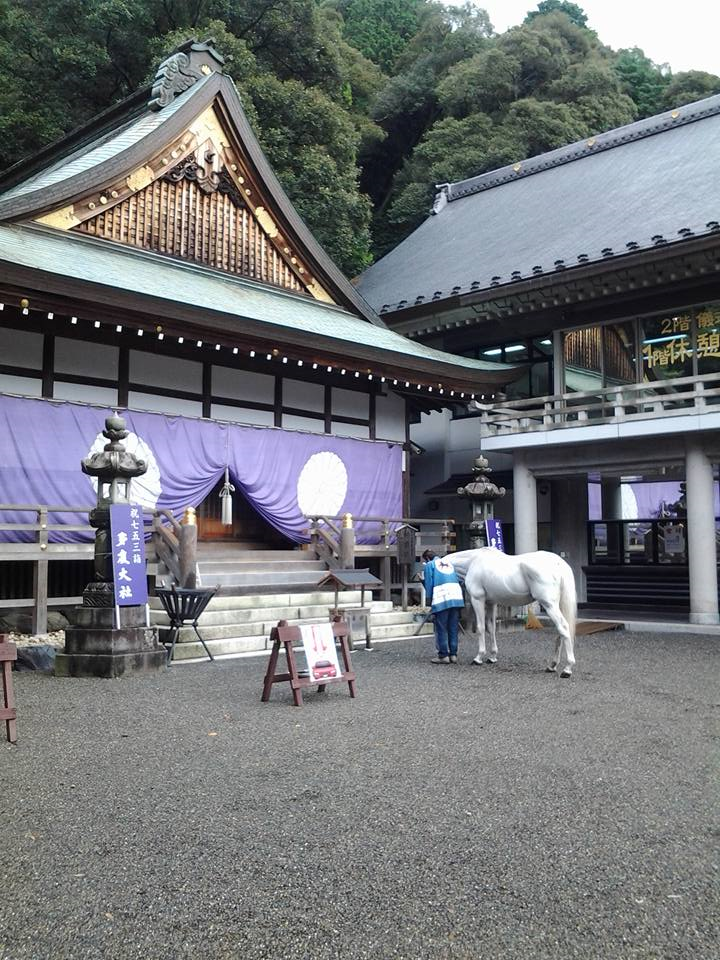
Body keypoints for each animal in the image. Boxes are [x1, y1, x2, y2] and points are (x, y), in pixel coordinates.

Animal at [444, 548, 580, 676]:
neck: (473, 561)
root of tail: (559, 563)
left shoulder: (478, 599)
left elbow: (481, 627)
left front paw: (478, 657)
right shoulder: (491, 603)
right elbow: (491, 628)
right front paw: (492, 657)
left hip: (549, 605)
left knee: (563, 627)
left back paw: (567, 669)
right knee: (560, 632)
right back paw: (552, 665)